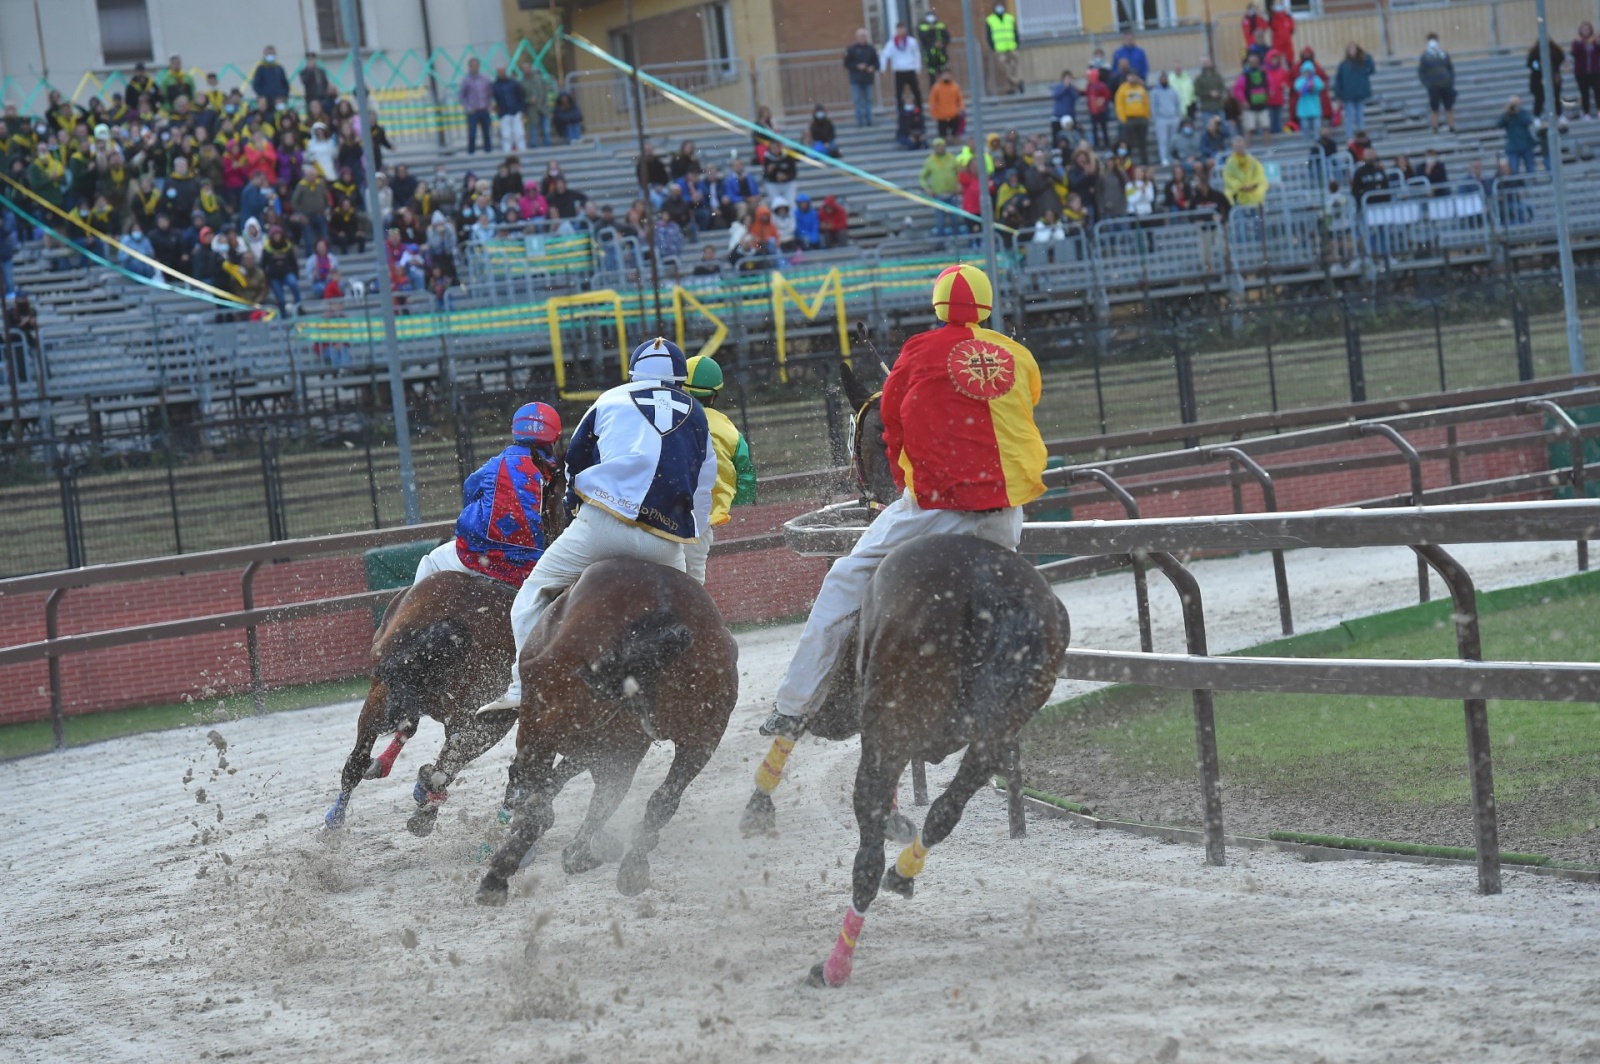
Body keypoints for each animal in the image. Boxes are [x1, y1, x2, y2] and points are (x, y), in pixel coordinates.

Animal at [470, 556, 739, 902]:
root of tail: (664, 605)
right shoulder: (609, 748)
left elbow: (546, 792)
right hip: (700, 736)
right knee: (662, 799)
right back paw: (630, 867)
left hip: (548, 720)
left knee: (539, 805)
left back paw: (499, 875)